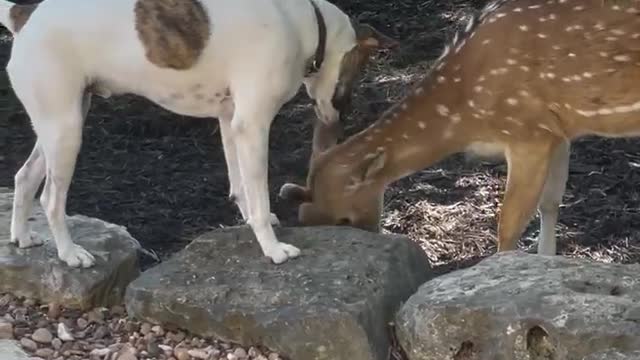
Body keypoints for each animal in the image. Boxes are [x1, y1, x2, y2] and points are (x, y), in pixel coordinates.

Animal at [2, 0, 398, 268]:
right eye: (349, 88)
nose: (338, 125)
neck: (302, 23)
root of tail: (25, 16)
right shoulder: (253, 125)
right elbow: (258, 193)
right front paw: (271, 248)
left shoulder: (231, 121)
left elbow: (241, 186)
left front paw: (252, 220)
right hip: (66, 132)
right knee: (51, 199)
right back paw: (69, 254)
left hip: (59, 125)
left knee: (24, 177)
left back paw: (22, 236)